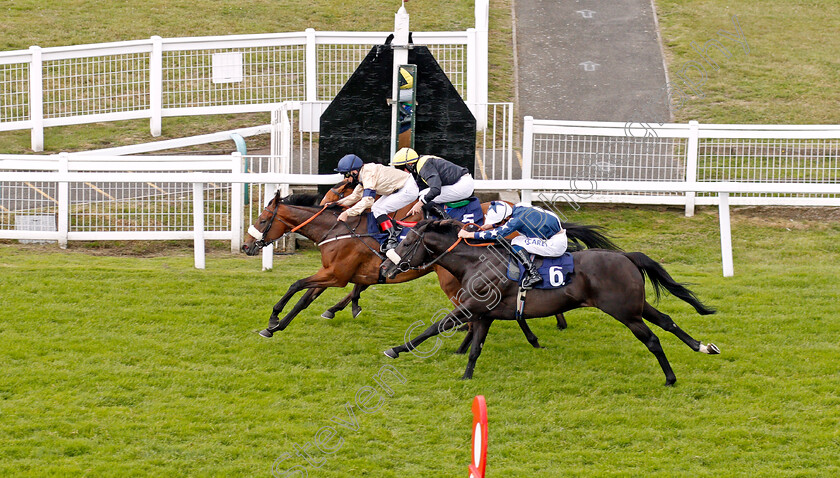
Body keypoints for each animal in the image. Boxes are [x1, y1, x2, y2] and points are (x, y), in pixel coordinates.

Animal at [240, 192, 620, 350]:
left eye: (262, 217)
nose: (246, 246)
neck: (339, 228)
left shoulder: (337, 274)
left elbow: (295, 285)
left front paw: (273, 318)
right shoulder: (336, 274)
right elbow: (306, 298)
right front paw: (275, 327)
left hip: (454, 280)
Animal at [384, 219, 720, 384]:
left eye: (408, 241)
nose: (387, 268)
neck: (478, 261)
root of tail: (626, 256)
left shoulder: (471, 307)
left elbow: (435, 327)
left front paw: (396, 349)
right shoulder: (483, 314)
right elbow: (475, 347)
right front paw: (467, 378)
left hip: (625, 312)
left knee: (652, 339)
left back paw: (670, 378)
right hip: (636, 306)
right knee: (667, 321)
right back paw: (703, 346)